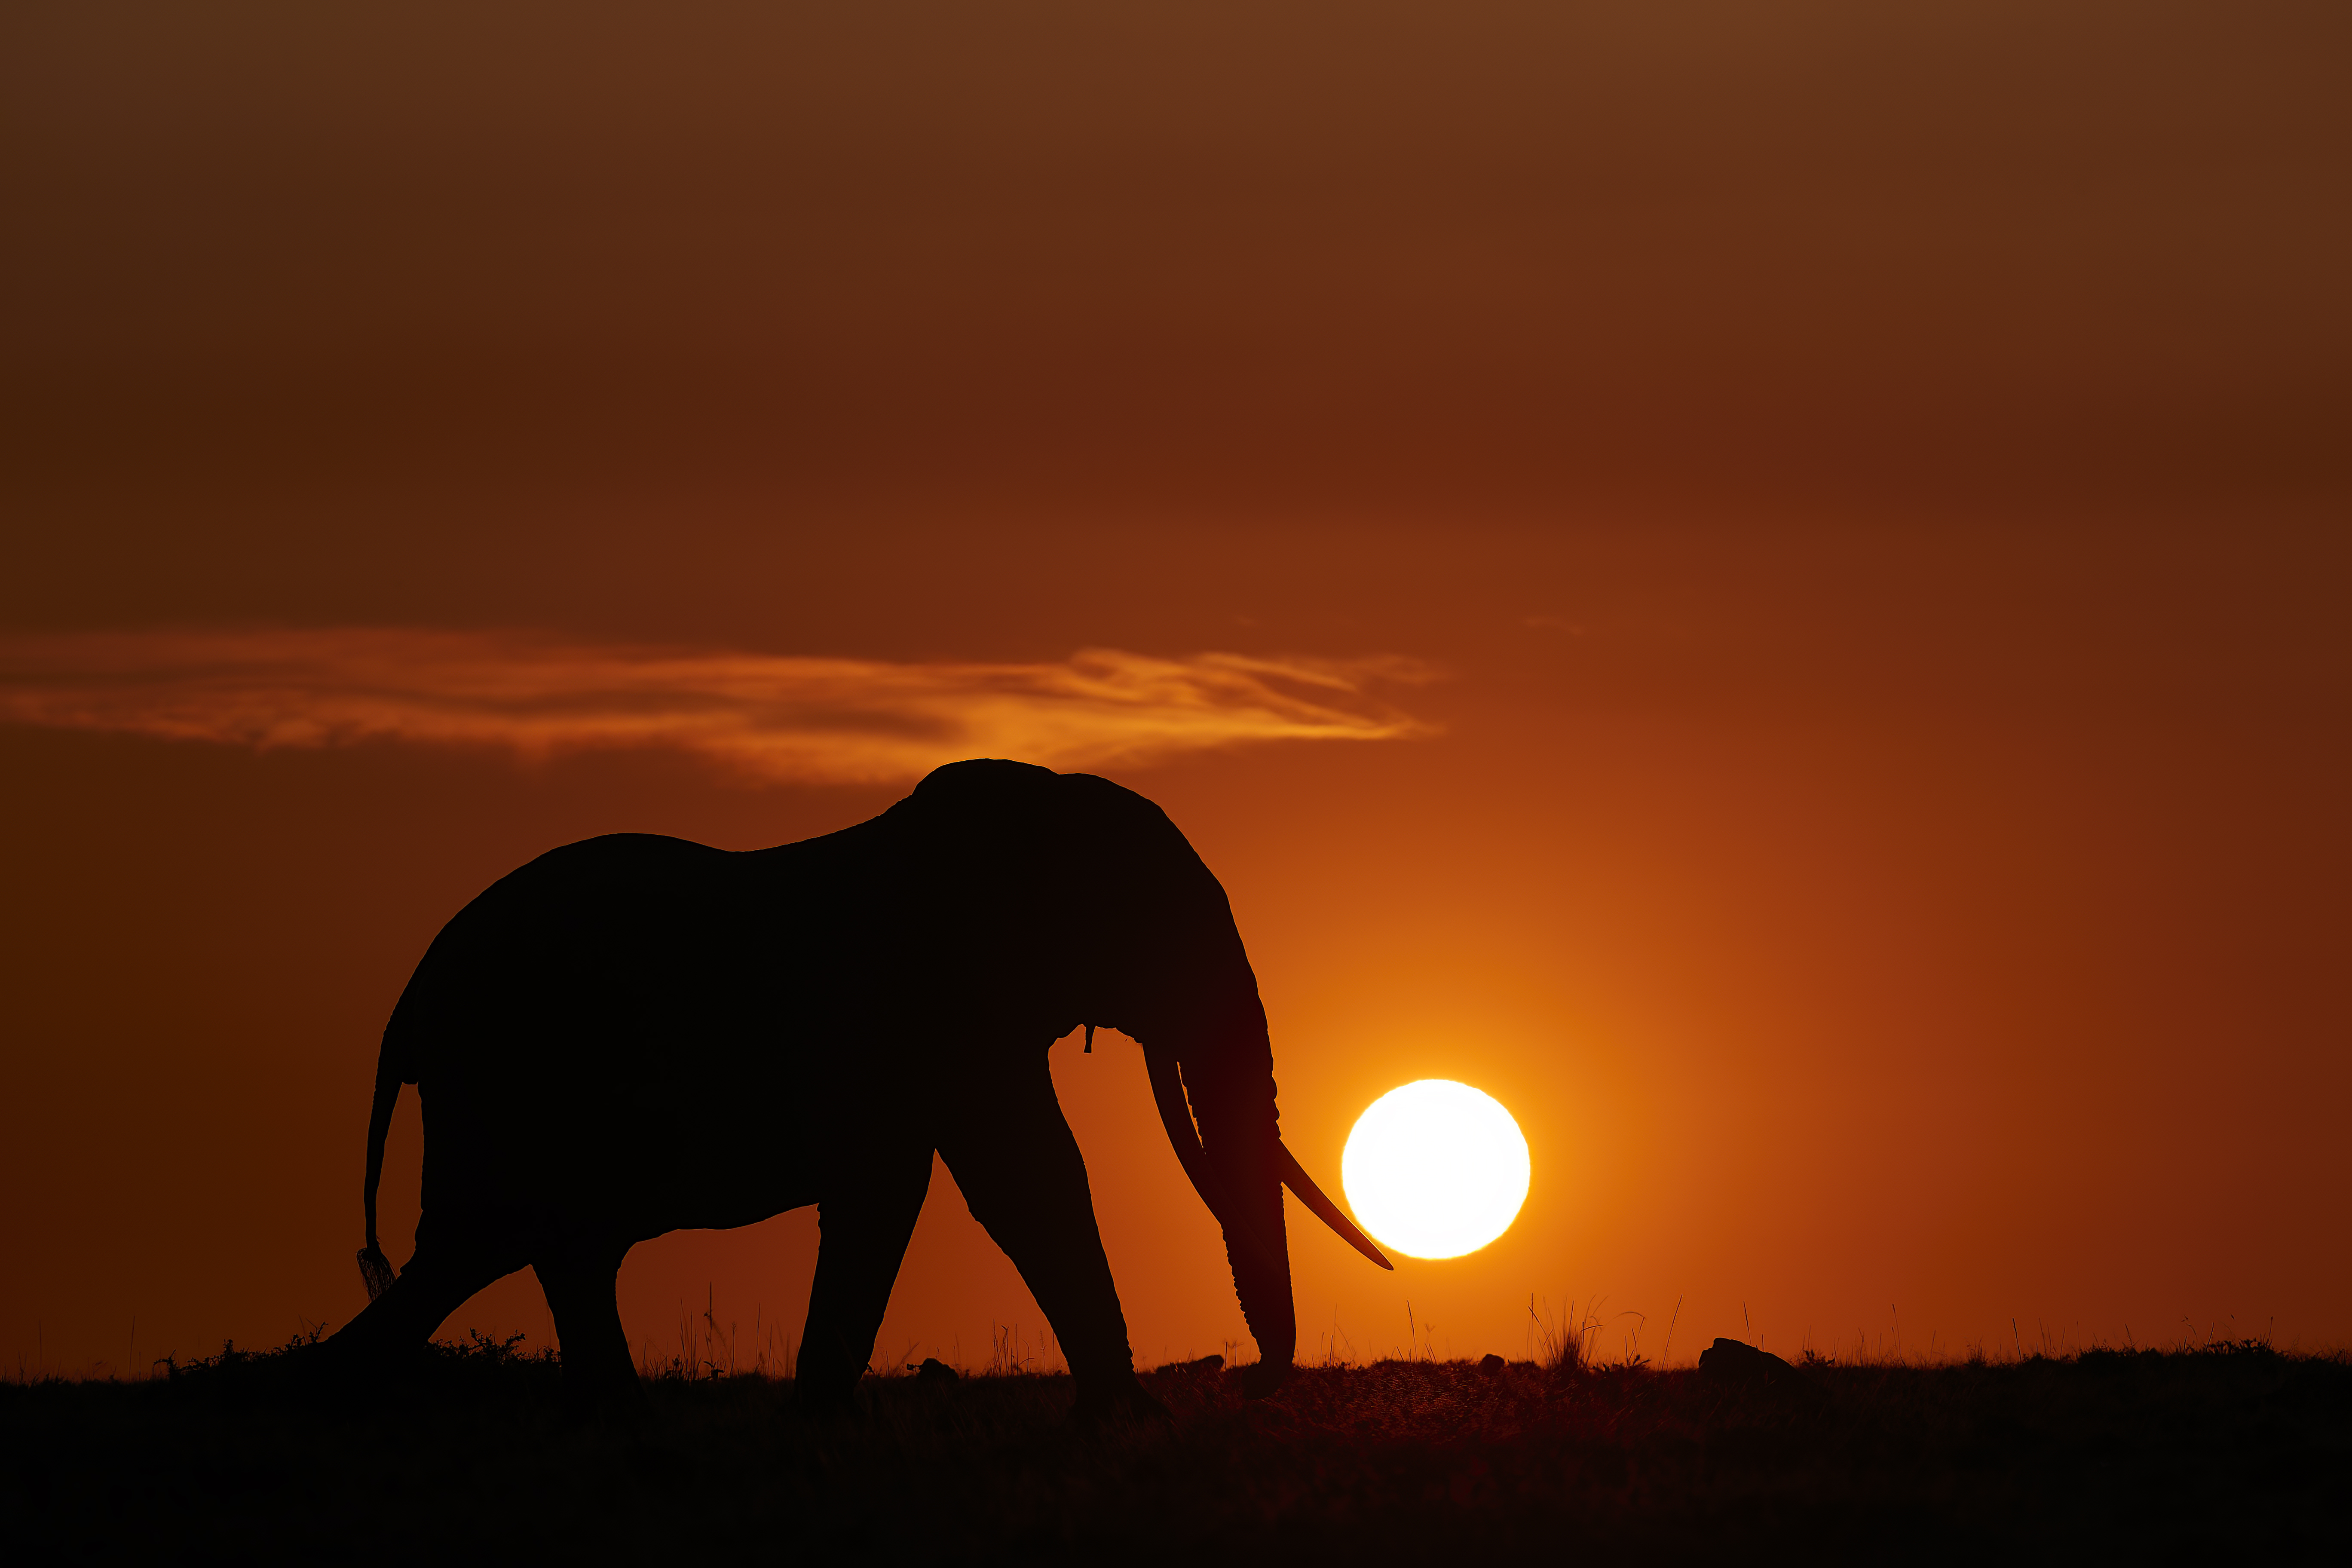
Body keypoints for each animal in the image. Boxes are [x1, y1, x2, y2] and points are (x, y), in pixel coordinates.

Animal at [324, 758, 1389, 1417]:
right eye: (1154, 927)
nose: (1247, 1382)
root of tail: (408, 1003)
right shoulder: (939, 1010)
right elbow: (1017, 1179)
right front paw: (1131, 1420)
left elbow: (946, 1183)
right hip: (503, 1074)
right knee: (487, 1243)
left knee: (538, 1249)